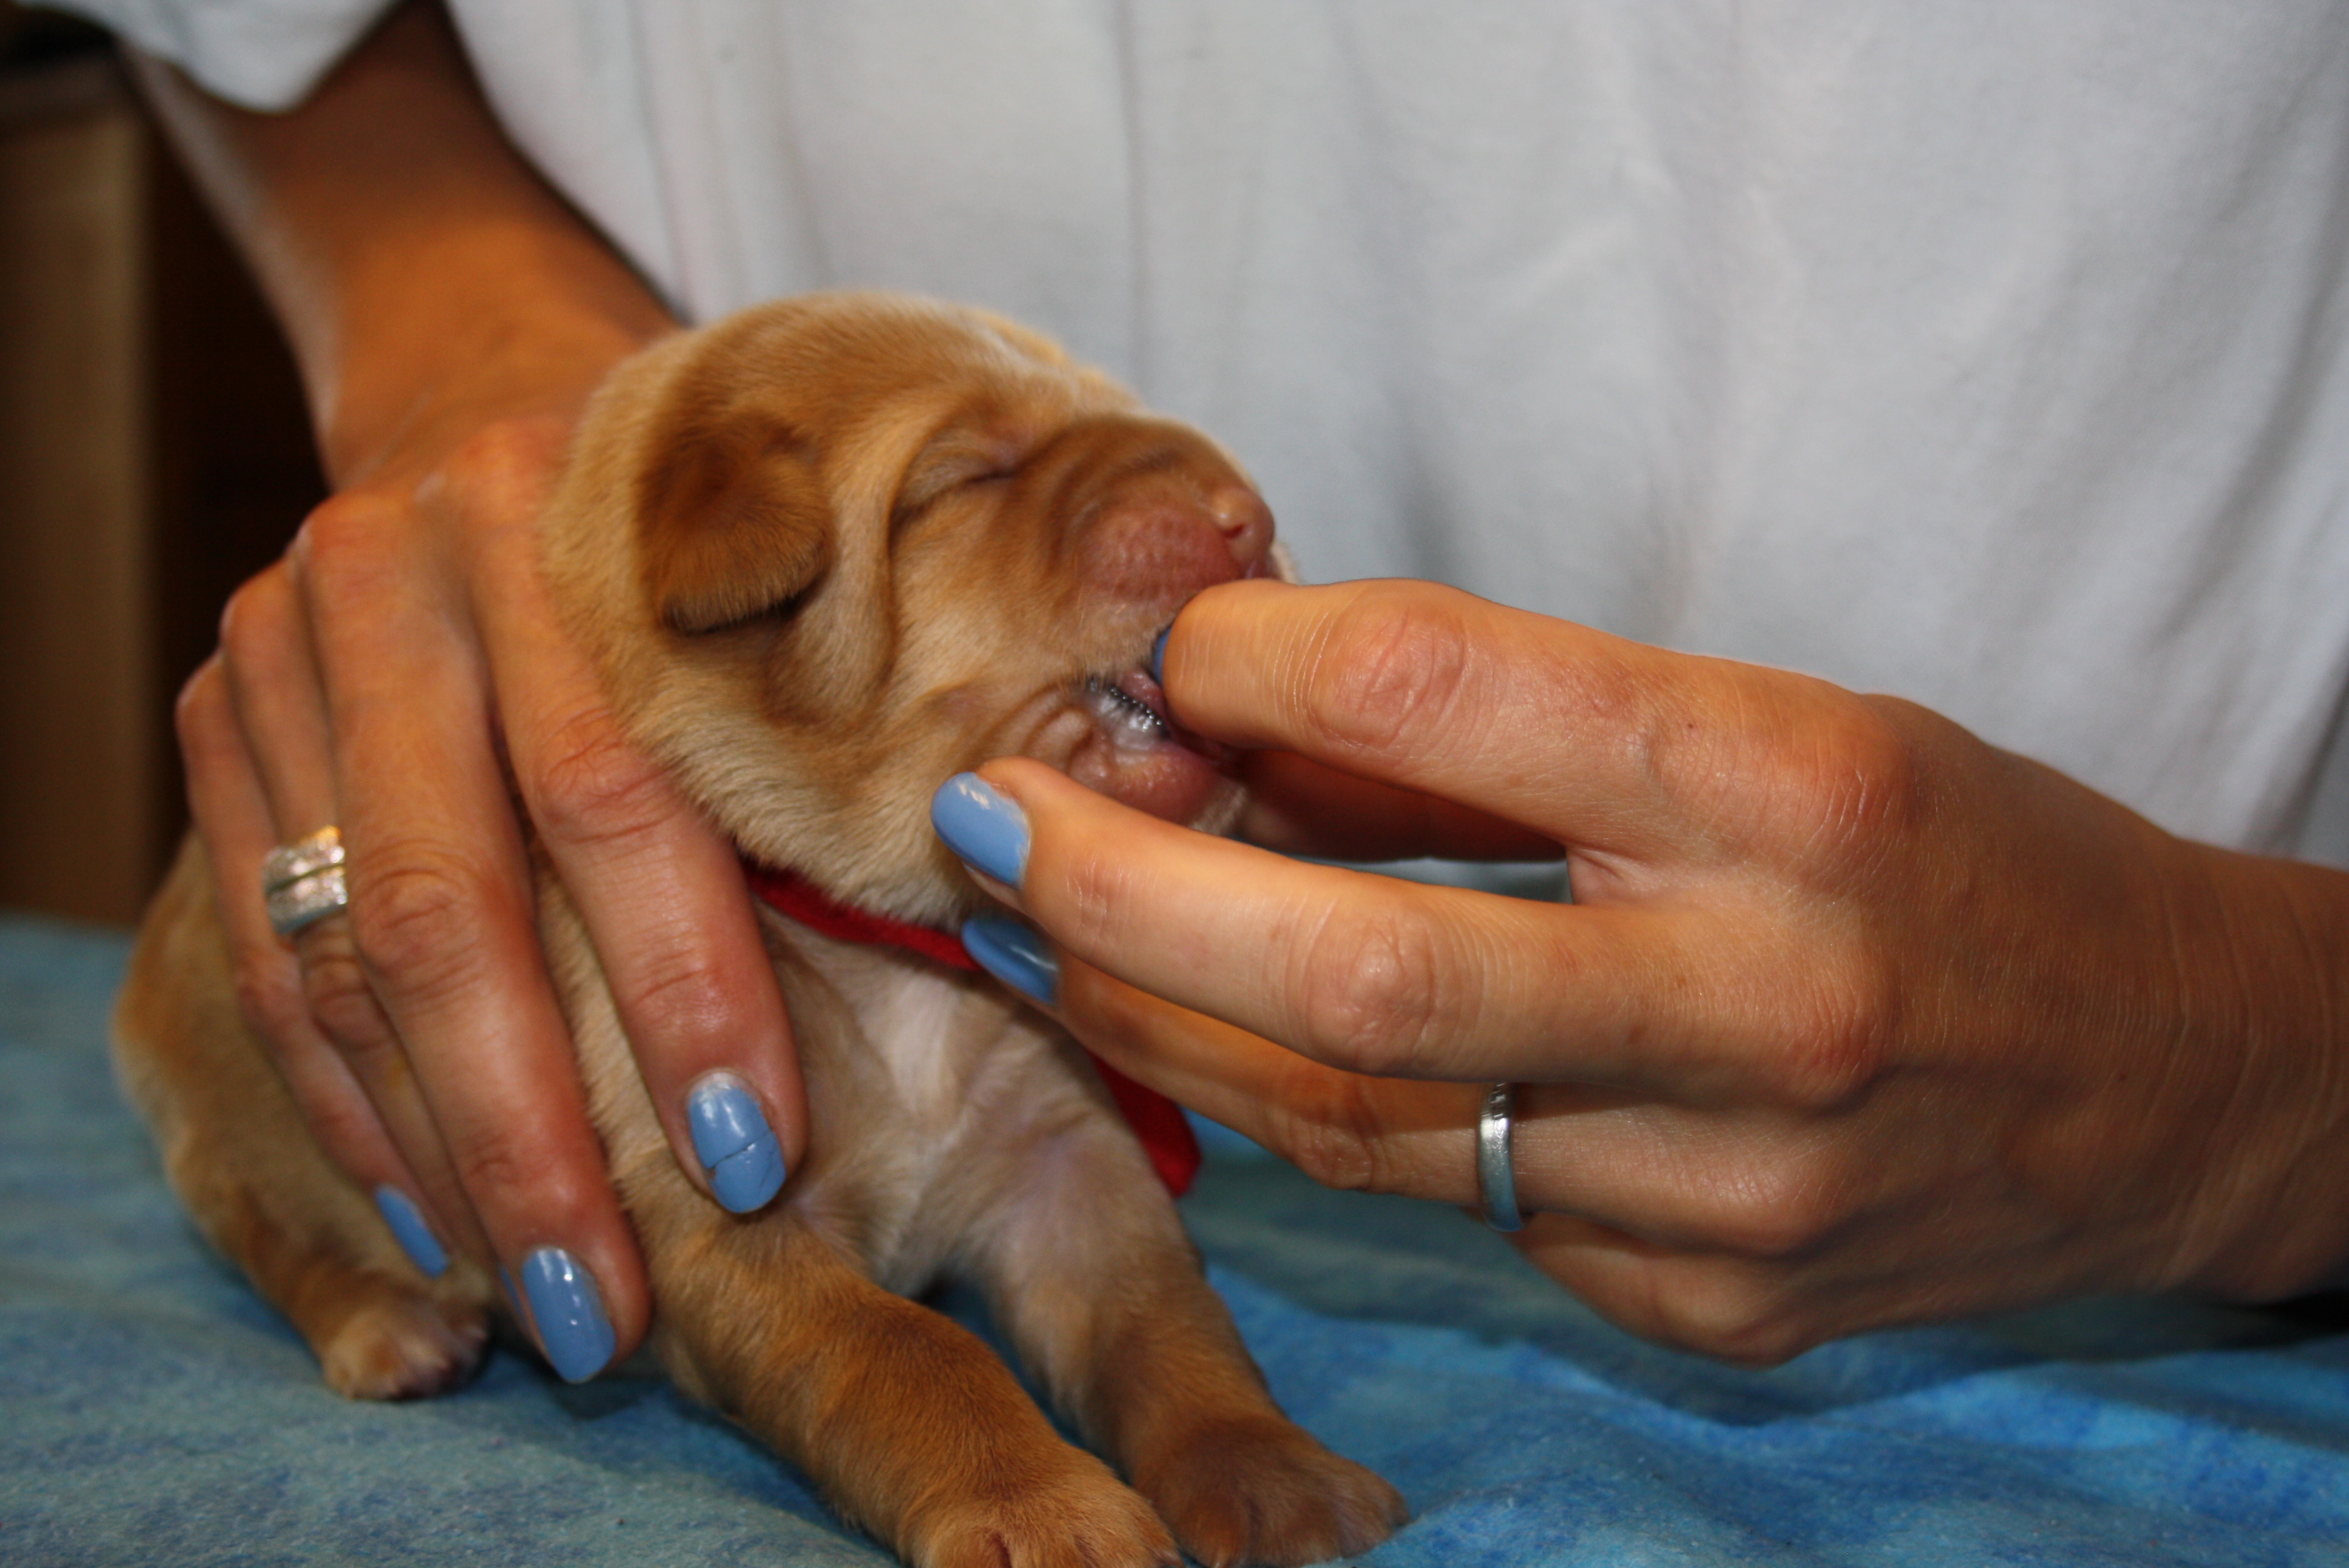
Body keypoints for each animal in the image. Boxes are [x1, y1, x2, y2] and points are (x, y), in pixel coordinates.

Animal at [113, 292, 1407, 1568]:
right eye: (968, 476)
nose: (1248, 518)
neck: (903, 953)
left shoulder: (1069, 1165)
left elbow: (1172, 1320)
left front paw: (1275, 1473)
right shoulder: (724, 1214)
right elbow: (909, 1353)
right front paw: (1041, 1509)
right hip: (243, 1115)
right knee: (272, 1234)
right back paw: (389, 1323)